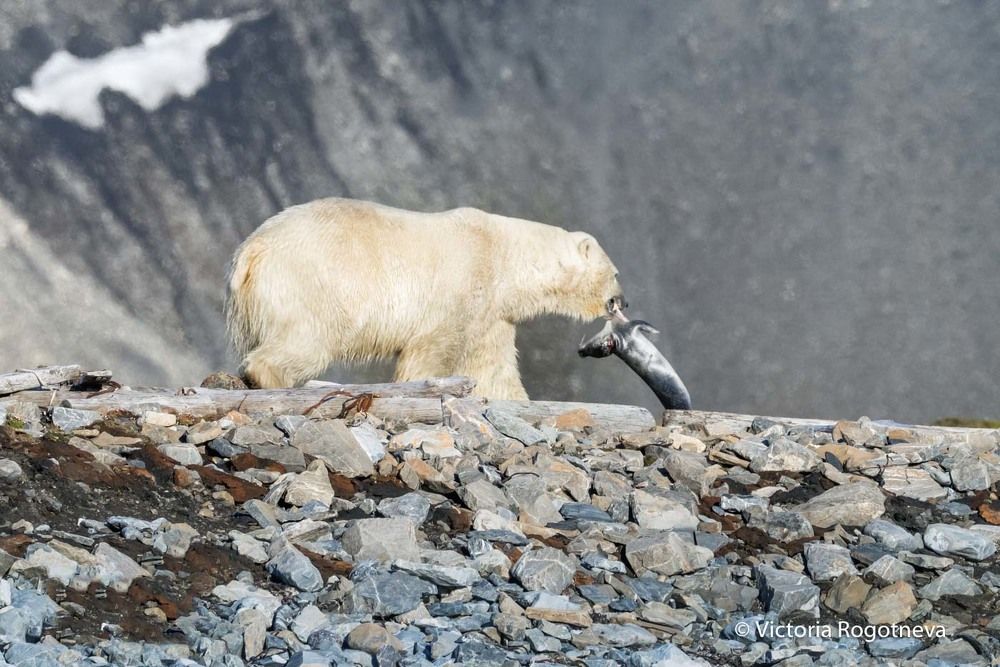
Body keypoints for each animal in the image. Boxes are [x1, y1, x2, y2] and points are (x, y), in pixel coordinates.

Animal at [225, 197, 624, 399]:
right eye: (616, 273)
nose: (623, 301)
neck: (506, 255)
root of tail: (252, 250)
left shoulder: (492, 313)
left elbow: (493, 367)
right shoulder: (464, 283)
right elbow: (433, 349)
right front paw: (423, 386)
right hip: (310, 286)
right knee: (305, 340)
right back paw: (271, 379)